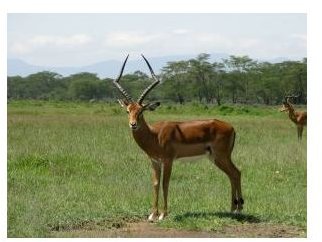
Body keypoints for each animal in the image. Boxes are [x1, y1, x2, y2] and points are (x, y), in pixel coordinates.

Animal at [113, 54, 244, 221]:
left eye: (141, 111)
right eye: (128, 111)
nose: (133, 124)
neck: (155, 135)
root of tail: (231, 127)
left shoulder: (168, 160)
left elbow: (165, 183)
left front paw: (163, 215)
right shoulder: (155, 161)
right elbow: (155, 183)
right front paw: (152, 214)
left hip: (221, 156)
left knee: (236, 173)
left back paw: (238, 209)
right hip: (216, 158)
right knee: (232, 174)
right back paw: (233, 209)